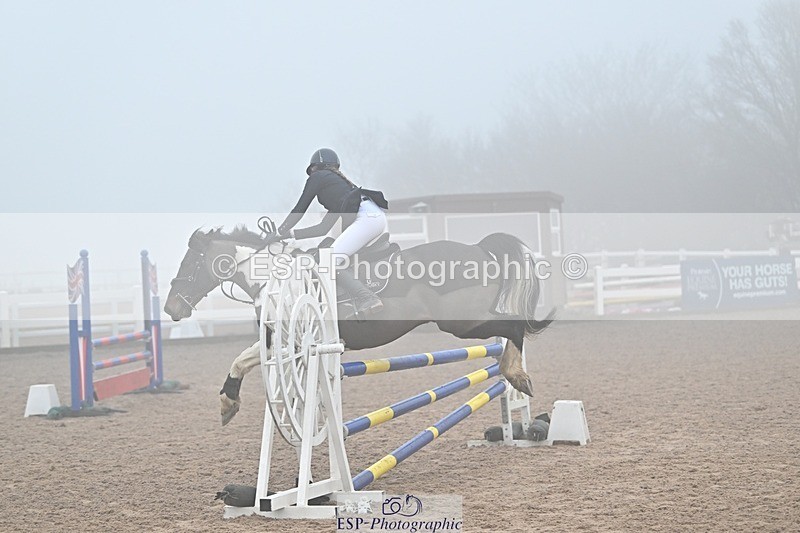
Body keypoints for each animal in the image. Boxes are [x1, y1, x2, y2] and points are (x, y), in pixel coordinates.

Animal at [164, 226, 553, 425]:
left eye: (191, 263)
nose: (171, 308)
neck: (274, 277)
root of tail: (479, 249)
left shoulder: (290, 341)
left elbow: (242, 361)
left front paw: (228, 403)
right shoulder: (285, 342)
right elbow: (243, 361)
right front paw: (228, 404)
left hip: (462, 323)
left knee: (514, 327)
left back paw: (517, 375)